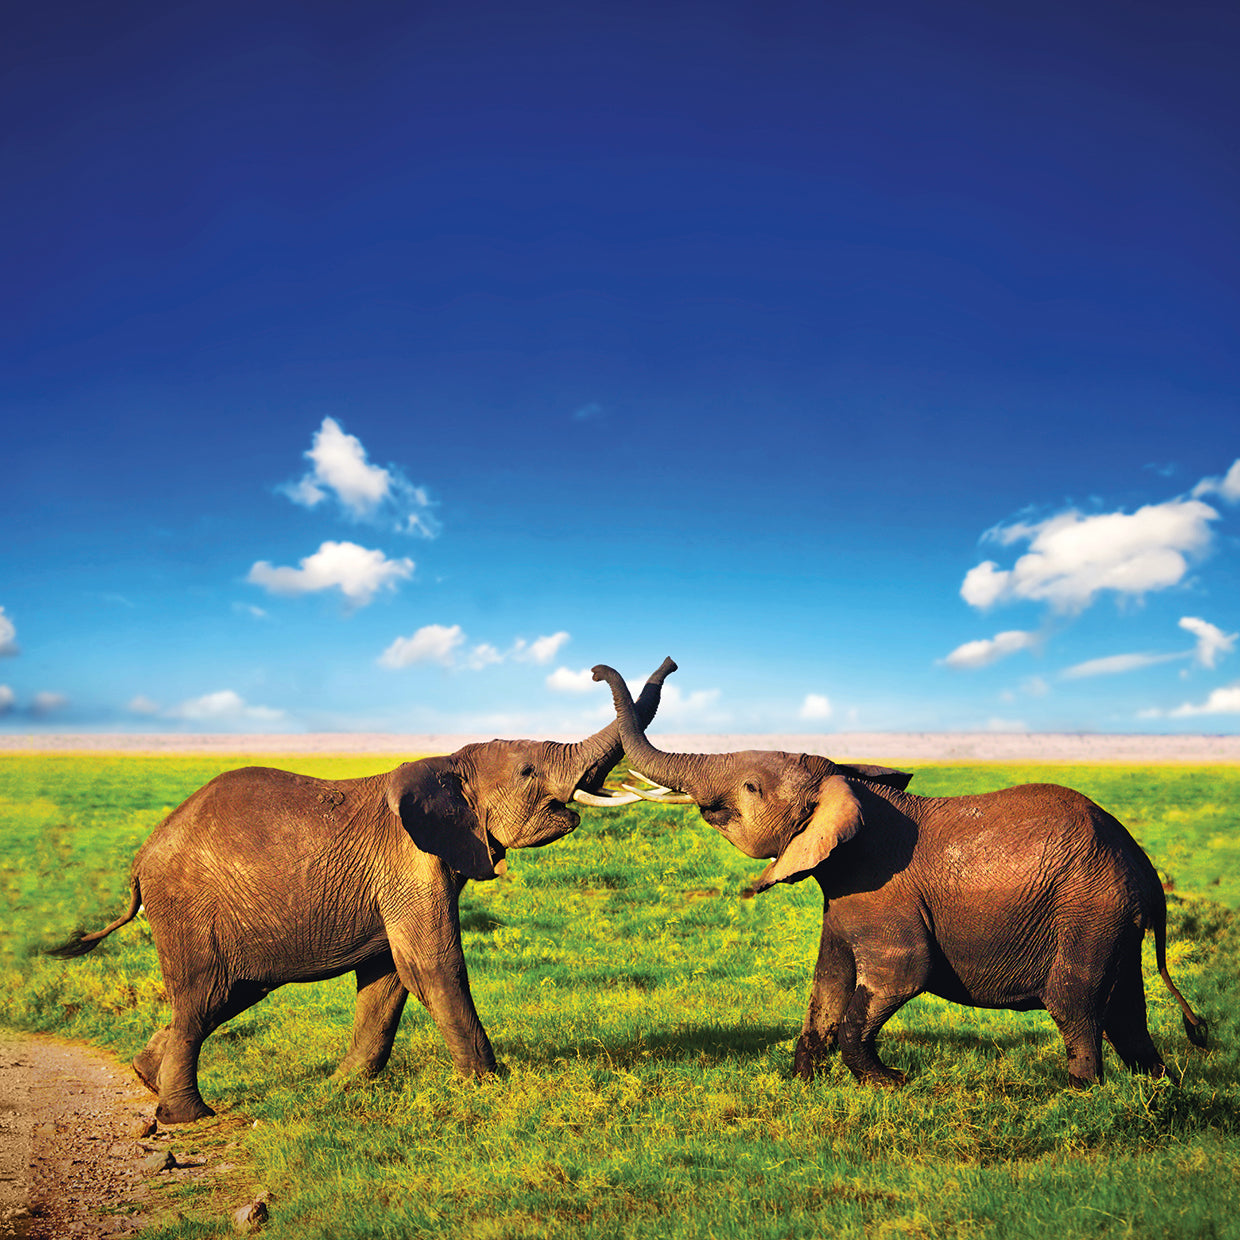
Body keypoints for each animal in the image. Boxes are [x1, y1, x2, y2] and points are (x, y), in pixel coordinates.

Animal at [49, 658, 675, 1124]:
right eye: (527, 772)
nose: (595, 671)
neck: (448, 763)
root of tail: (142, 856)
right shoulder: (413, 864)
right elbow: (434, 966)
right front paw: (489, 1087)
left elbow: (388, 980)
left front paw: (342, 1088)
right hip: (187, 908)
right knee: (202, 995)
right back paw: (189, 1116)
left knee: (220, 1000)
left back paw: (144, 1075)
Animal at [592, 661, 1208, 1090]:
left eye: (749, 788)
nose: (598, 671)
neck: (848, 786)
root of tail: (1149, 879)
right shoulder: (844, 896)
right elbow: (828, 982)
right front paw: (802, 1084)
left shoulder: (884, 893)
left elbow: (901, 975)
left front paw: (891, 1083)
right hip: (1113, 920)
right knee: (1125, 1009)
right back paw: (1157, 1087)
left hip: (1089, 910)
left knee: (1074, 1001)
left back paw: (1077, 1096)